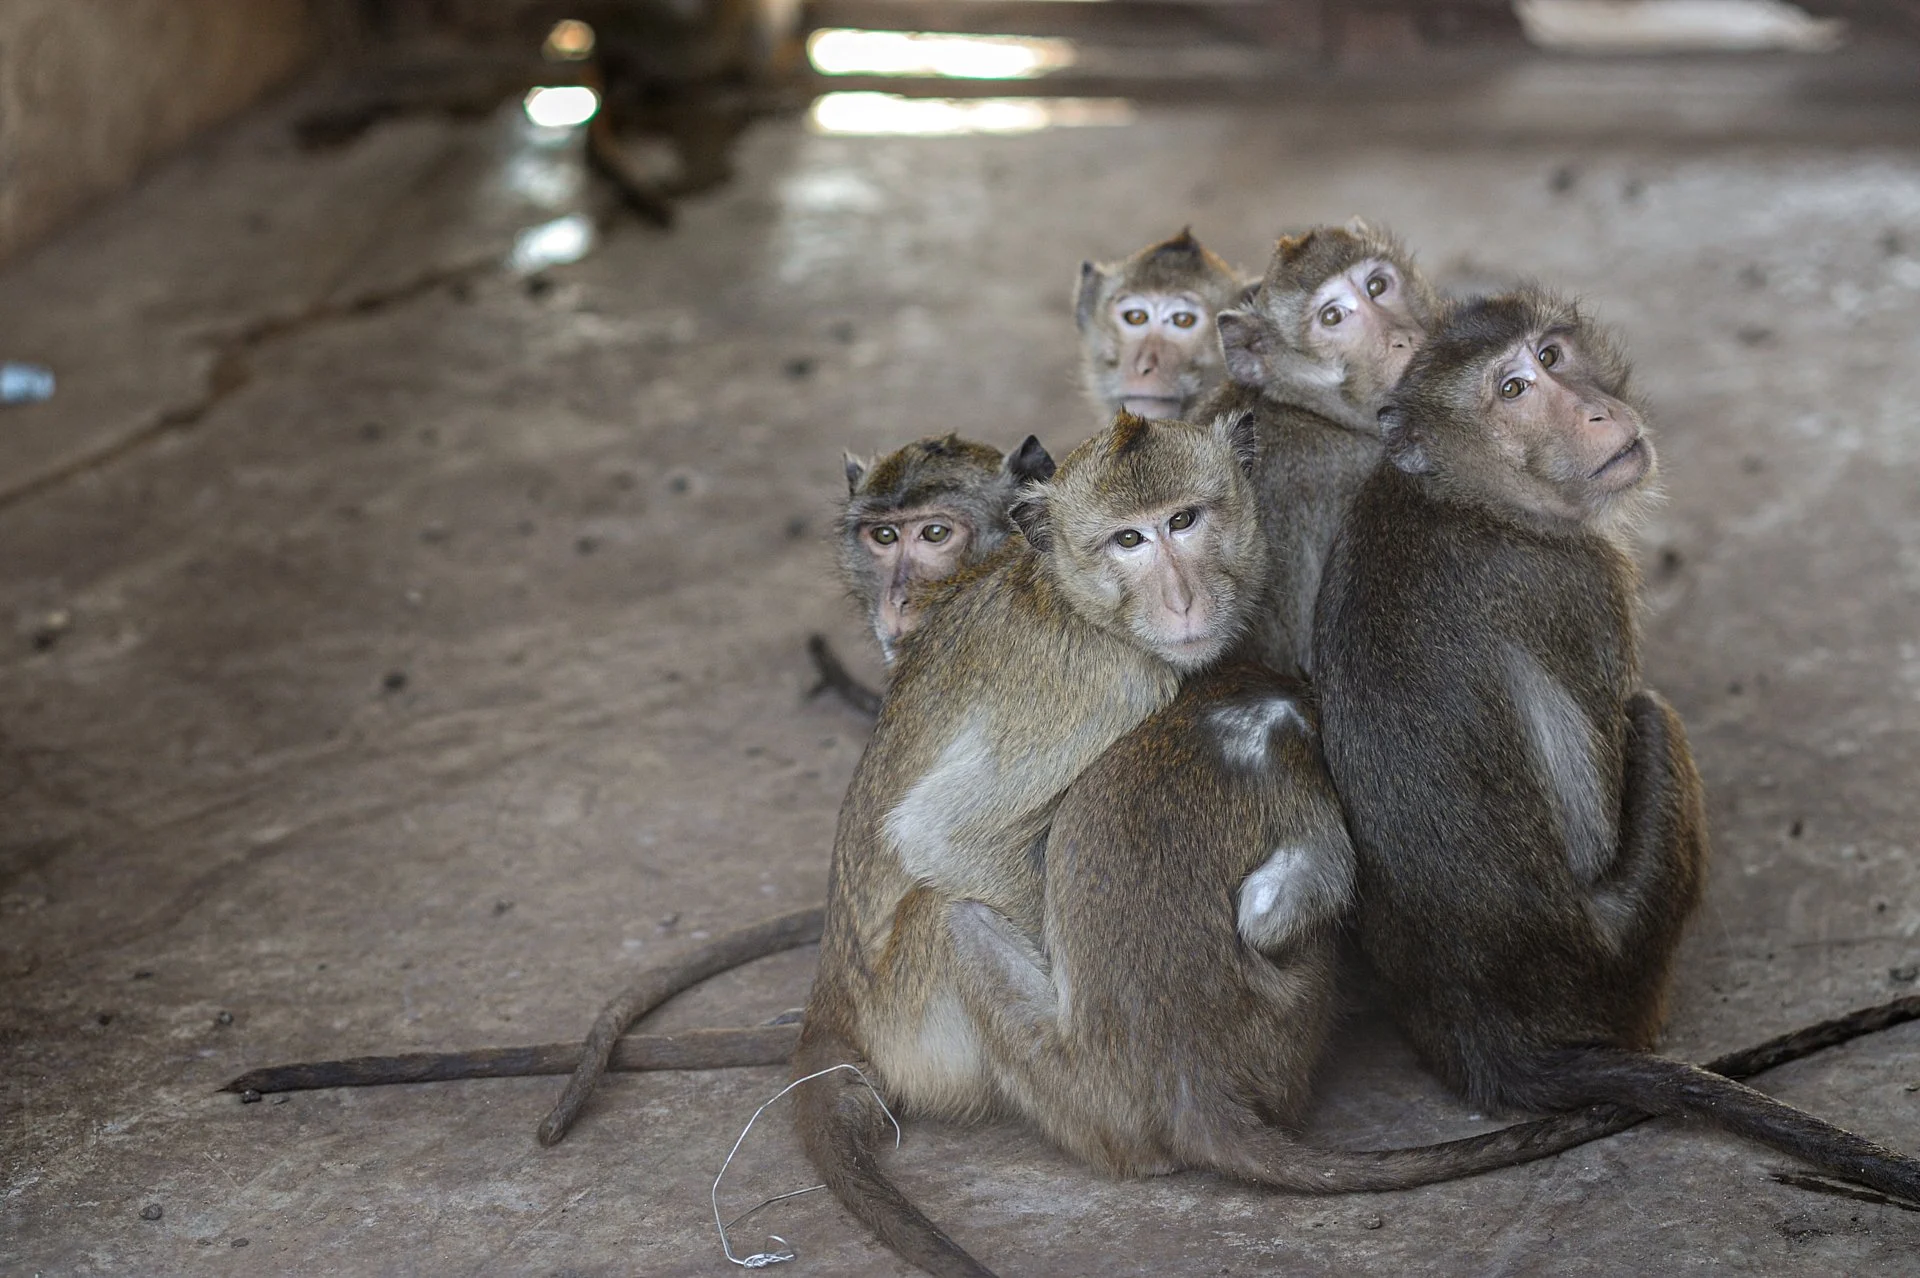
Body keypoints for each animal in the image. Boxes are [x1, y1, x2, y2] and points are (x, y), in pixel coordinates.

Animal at [1311, 287, 1920, 1204]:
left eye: (1552, 357)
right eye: (1513, 391)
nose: (1597, 411)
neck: (1462, 496)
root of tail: (1488, 1038)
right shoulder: (1582, 581)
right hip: (1627, 959)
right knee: (1654, 719)